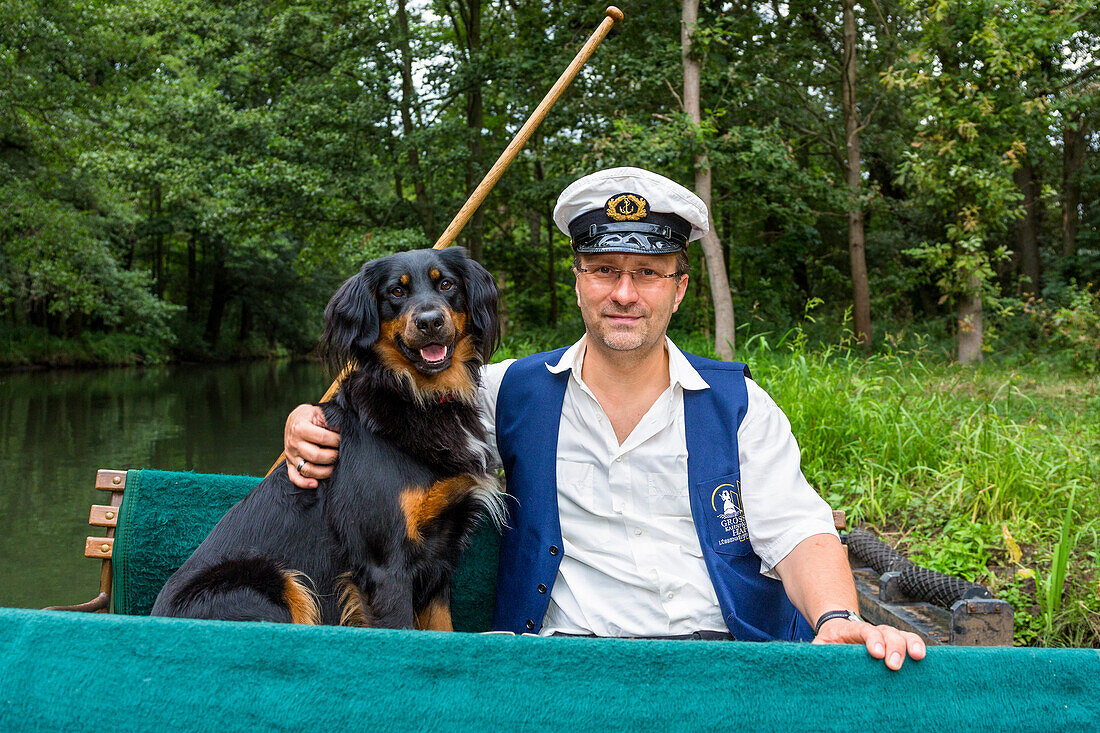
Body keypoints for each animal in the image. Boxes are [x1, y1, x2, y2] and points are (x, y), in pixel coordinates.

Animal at [151, 246, 503, 629]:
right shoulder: (385, 563)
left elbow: (444, 630)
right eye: (396, 291)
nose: (429, 322)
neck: (420, 397)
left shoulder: (441, 556)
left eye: (447, 284)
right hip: (270, 582)